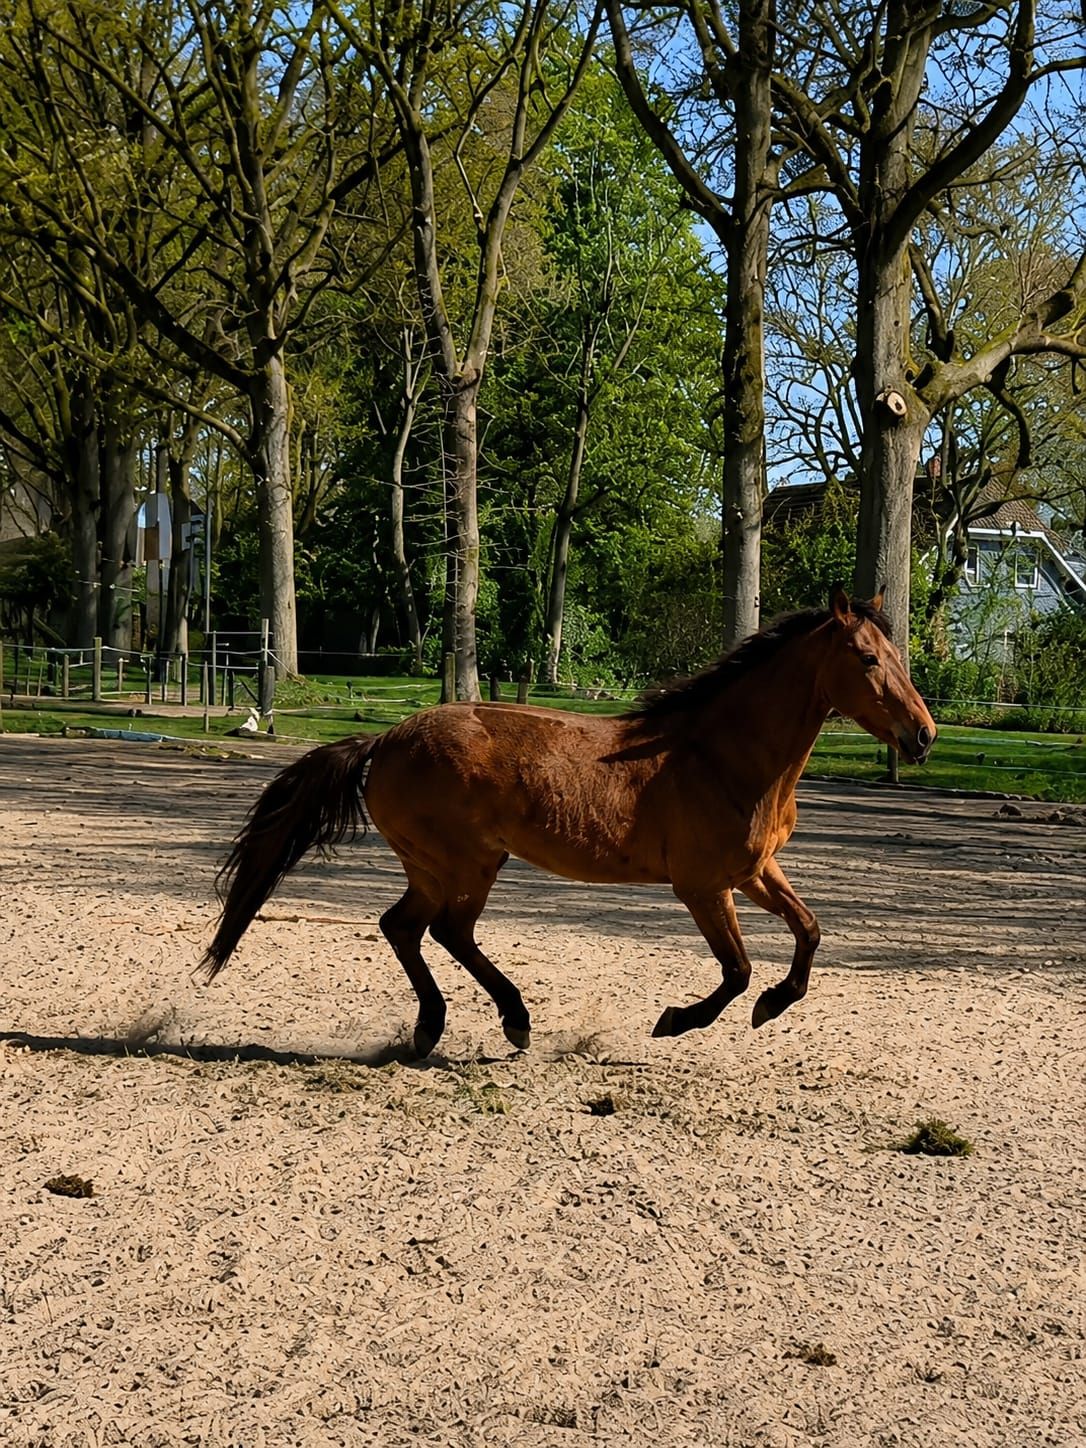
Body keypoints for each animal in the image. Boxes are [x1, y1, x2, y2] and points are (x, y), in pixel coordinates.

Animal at [201, 588, 936, 1059]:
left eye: (898, 656)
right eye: (868, 658)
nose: (923, 735)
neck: (721, 755)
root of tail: (384, 740)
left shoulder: (754, 871)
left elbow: (808, 932)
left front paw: (775, 1005)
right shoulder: (703, 887)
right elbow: (737, 971)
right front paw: (676, 1021)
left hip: (448, 866)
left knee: (412, 928)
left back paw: (446, 1027)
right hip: (463, 863)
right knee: (436, 931)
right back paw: (507, 1022)